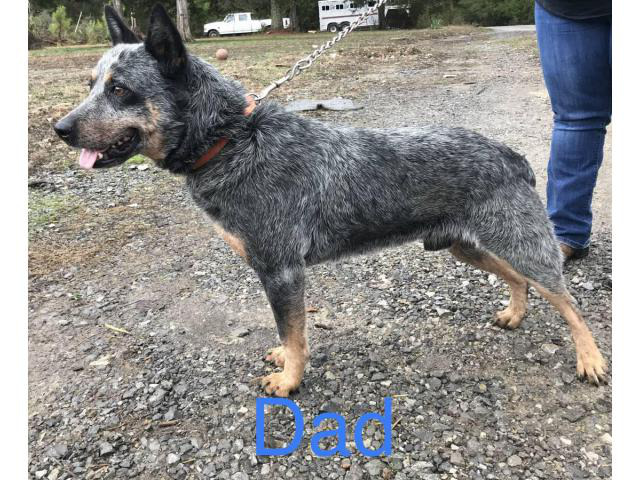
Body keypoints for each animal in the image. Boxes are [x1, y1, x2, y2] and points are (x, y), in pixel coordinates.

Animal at [53, 4, 604, 398]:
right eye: (90, 85)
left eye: (120, 90)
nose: (59, 129)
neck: (233, 140)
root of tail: (511, 154)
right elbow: (287, 334)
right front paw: (283, 359)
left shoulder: (281, 271)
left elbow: (295, 334)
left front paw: (290, 381)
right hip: (464, 246)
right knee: (520, 281)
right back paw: (515, 313)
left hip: (517, 244)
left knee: (568, 300)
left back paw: (591, 359)